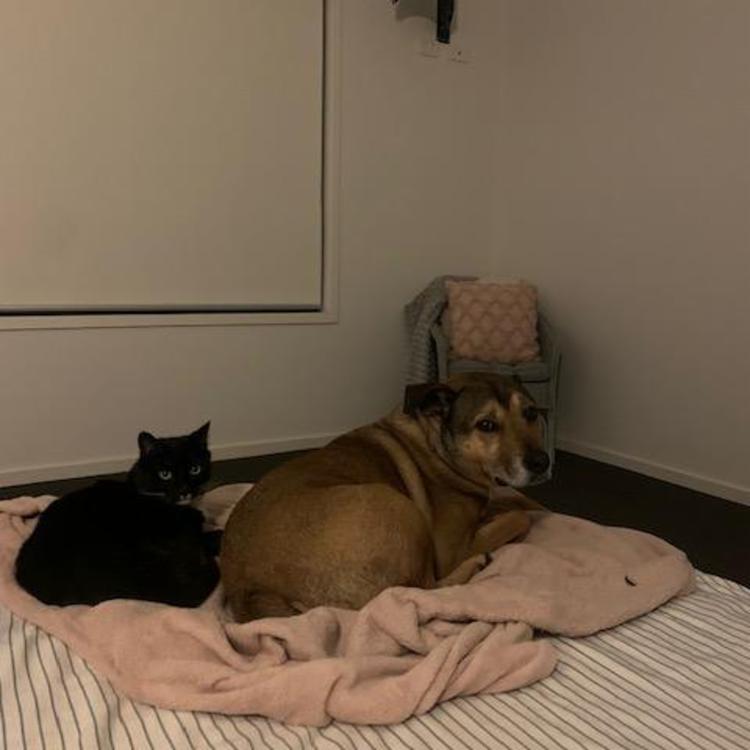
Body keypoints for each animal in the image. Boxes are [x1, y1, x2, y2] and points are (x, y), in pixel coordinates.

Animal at [220, 372, 549, 622]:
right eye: (486, 425)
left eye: (531, 413)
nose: (542, 462)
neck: (436, 447)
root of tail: (249, 589)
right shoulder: (452, 549)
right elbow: (520, 516)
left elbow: (515, 502)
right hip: (396, 503)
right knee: (422, 589)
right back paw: (477, 564)